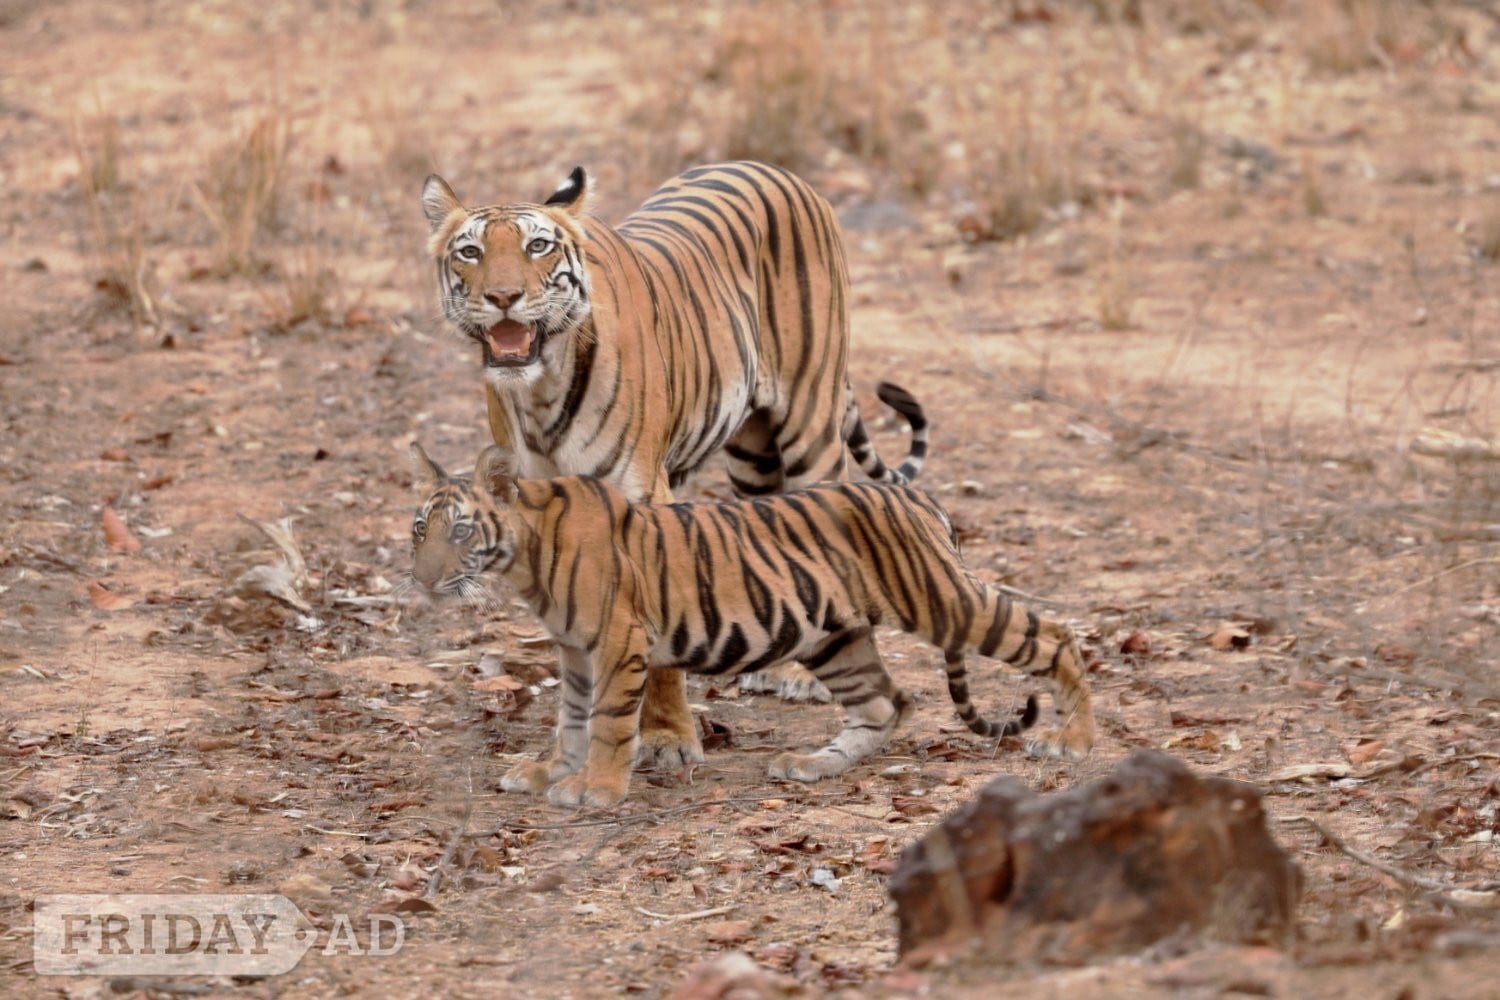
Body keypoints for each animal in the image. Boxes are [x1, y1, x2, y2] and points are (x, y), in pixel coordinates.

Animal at [409, 443, 1096, 808]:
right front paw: (551, 770)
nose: (421, 579)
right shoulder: (575, 651)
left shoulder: (618, 643)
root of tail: (920, 497)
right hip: (835, 638)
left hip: (944, 601)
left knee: (1057, 635)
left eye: (461, 531)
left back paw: (1074, 741)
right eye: (420, 528)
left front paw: (597, 788)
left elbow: (606, 722)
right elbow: (570, 719)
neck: (525, 557)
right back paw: (813, 765)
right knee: (885, 704)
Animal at [420, 161, 931, 768]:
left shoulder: (639, 497)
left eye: (537, 246)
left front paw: (666, 738)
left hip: (811, 423)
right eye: (470, 252)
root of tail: (772, 168)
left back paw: (803, 679)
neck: (540, 392)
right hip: (753, 456)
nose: (503, 296)